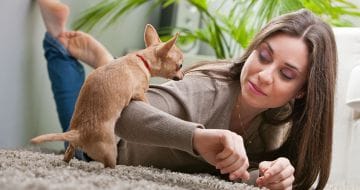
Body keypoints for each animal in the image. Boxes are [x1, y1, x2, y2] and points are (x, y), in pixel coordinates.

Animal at [29, 24, 184, 168]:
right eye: (180, 66)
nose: (183, 75)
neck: (143, 60)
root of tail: (79, 132)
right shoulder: (139, 92)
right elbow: (145, 99)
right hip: (110, 150)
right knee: (108, 164)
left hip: (73, 145)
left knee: (69, 152)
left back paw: (65, 162)